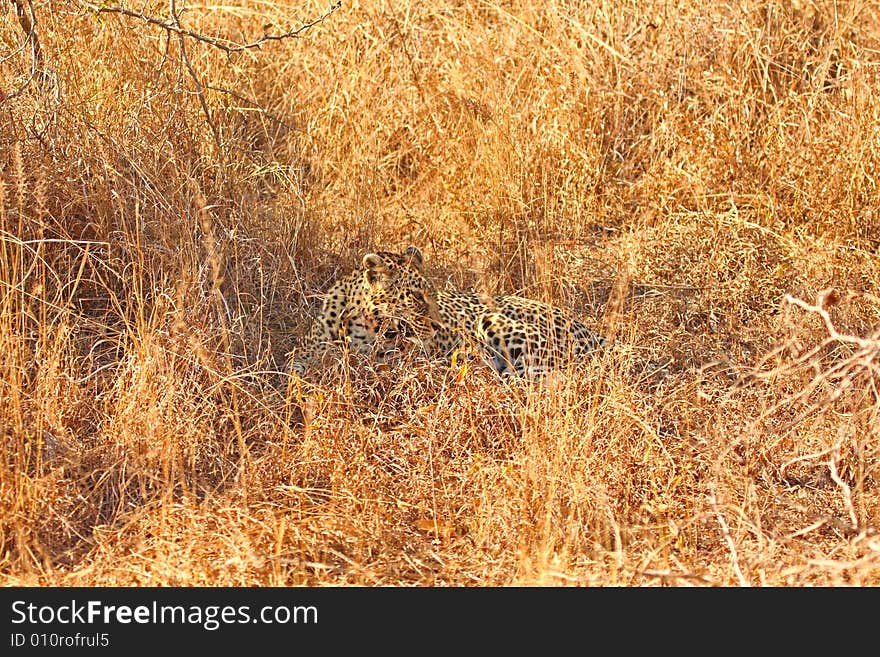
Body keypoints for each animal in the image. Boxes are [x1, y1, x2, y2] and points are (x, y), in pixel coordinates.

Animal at [288, 247, 604, 380]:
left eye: (434, 295)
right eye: (416, 297)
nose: (439, 327)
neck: (361, 326)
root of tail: (590, 331)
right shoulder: (304, 354)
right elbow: (296, 371)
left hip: (498, 324)